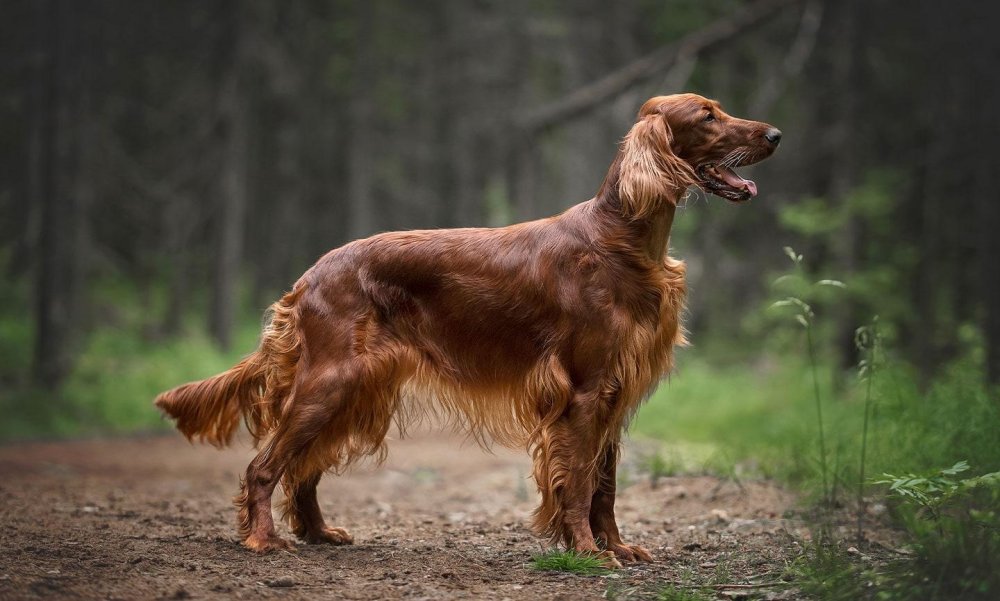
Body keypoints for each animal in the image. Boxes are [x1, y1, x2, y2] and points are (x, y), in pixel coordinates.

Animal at [154, 92, 780, 564]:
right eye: (707, 115)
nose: (775, 134)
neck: (623, 239)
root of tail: (308, 276)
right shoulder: (583, 393)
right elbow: (578, 482)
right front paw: (585, 551)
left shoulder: (614, 392)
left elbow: (604, 485)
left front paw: (617, 547)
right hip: (331, 381)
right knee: (265, 466)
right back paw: (262, 538)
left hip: (356, 389)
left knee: (302, 468)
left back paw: (317, 532)